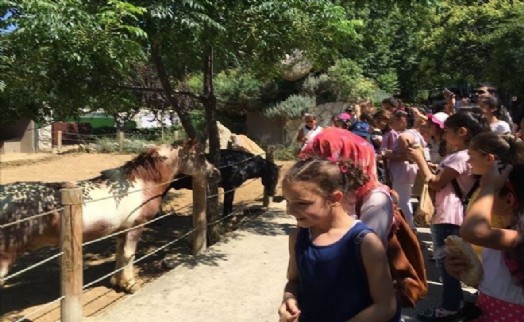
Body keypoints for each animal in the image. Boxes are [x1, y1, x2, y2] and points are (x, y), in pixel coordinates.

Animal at [0, 140, 217, 292]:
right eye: (200, 156)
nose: (215, 172)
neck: (140, 184)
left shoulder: (122, 229)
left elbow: (120, 253)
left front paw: (117, 282)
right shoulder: (135, 226)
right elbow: (129, 254)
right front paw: (130, 284)